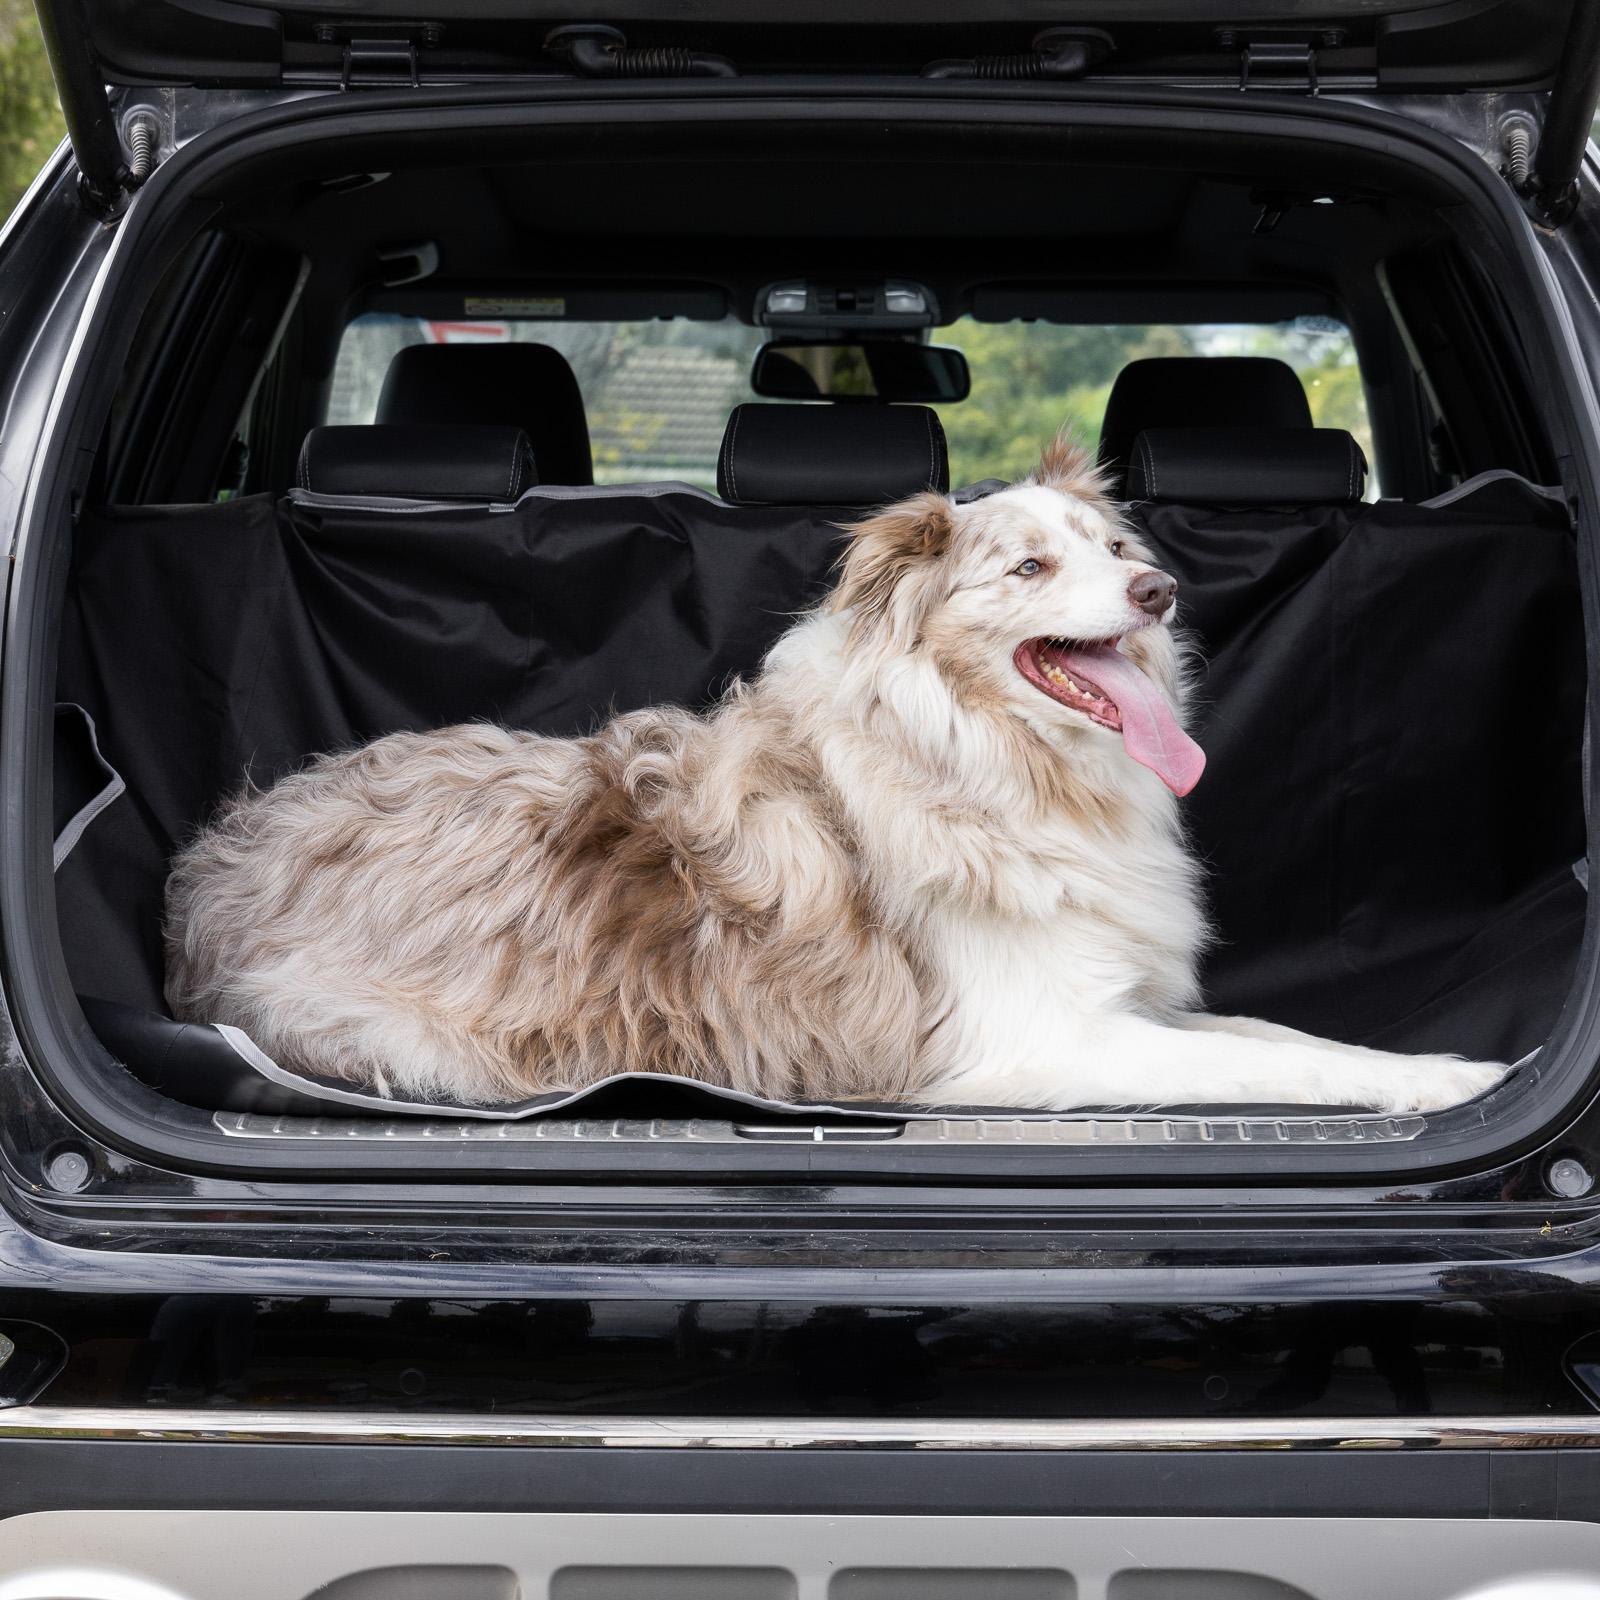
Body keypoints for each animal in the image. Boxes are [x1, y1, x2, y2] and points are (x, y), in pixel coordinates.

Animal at [162, 438, 1510, 1113]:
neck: (979, 757)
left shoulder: (1131, 999)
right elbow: (1285, 1059)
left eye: (1111, 546)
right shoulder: (1047, 1043)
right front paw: (1452, 1077)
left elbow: (1277, 1027)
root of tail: (224, 850)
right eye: (1027, 567)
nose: (1159, 588)